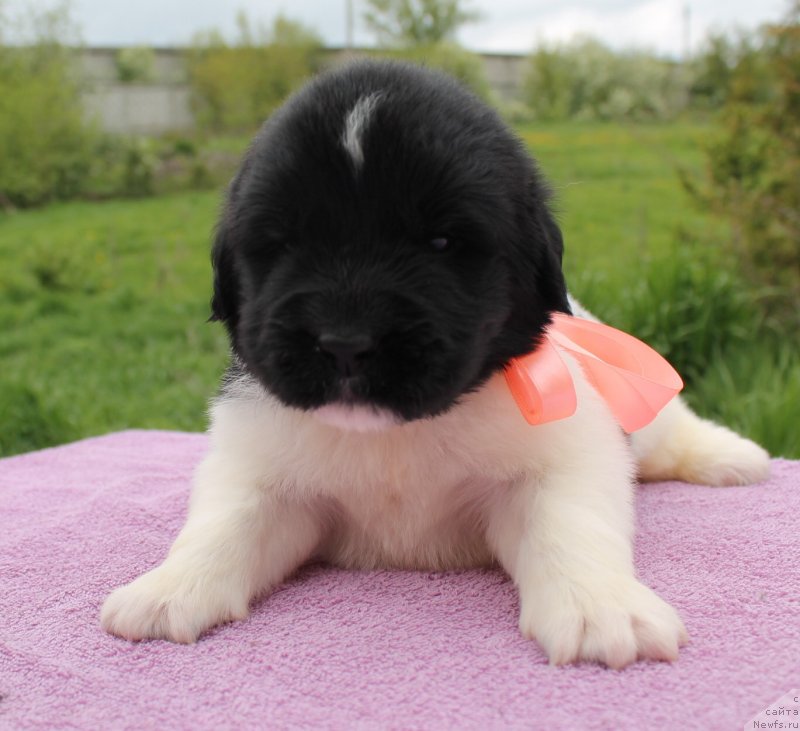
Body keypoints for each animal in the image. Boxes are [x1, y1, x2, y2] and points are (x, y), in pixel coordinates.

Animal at [100, 61, 768, 668]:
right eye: (284, 243)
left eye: (442, 243)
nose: (345, 342)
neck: (396, 438)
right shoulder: (263, 472)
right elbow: (224, 524)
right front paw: (169, 587)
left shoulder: (564, 458)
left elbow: (570, 523)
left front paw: (600, 607)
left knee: (672, 428)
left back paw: (731, 456)